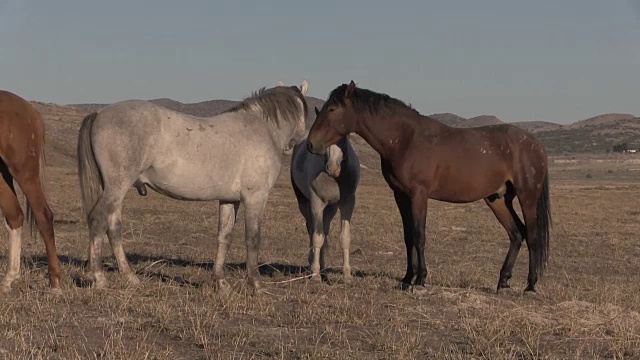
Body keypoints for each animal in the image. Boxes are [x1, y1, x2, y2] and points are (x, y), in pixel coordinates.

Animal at [0, 90, 60, 292]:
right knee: (14, 216)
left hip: (25, 173)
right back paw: (8, 280)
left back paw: (55, 284)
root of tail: (32, 112)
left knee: (43, 216)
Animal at [78, 80, 310, 292]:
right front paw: (256, 284)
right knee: (98, 220)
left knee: (113, 228)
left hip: (115, 189)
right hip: (117, 186)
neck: (261, 129)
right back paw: (98, 277)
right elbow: (253, 238)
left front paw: (220, 282)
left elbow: (224, 237)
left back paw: (129, 277)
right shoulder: (256, 198)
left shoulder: (229, 200)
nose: (297, 143)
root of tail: (99, 113)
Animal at [290, 107, 360, 282]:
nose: (333, 168)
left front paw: (347, 275)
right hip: (305, 203)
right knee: (312, 230)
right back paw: (313, 266)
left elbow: (344, 238)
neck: (336, 179)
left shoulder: (347, 203)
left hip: (331, 208)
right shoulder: (317, 203)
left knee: (325, 232)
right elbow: (317, 237)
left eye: (343, 138)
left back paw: (323, 268)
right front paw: (315, 274)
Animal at [306, 81, 552, 292]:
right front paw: (407, 279)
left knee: (531, 235)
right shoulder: (400, 196)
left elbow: (419, 235)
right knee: (516, 234)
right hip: (497, 199)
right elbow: (408, 237)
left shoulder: (419, 195)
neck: (405, 139)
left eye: (332, 109)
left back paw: (530, 285)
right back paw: (503, 282)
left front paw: (420, 279)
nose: (310, 144)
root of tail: (536, 145)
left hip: (527, 196)